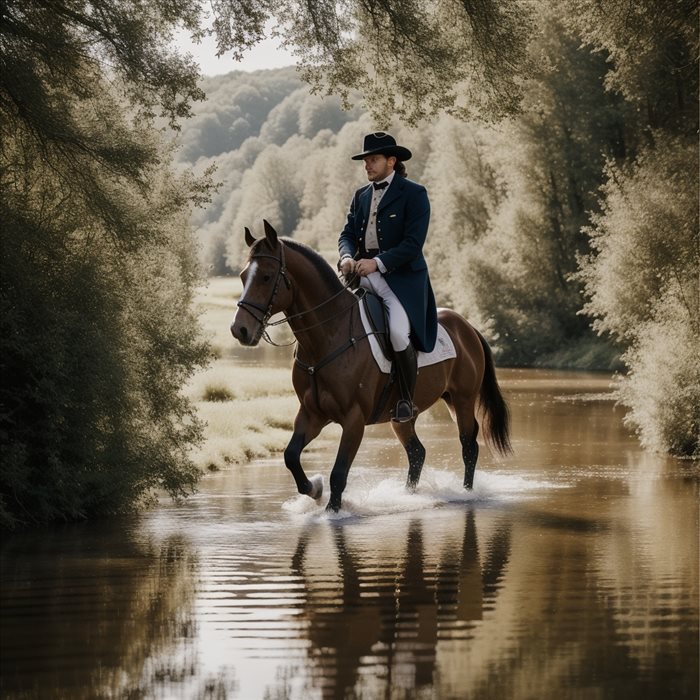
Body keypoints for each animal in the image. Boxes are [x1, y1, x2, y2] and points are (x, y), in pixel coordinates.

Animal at [232, 221, 512, 512]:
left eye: (266, 277)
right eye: (243, 276)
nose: (239, 329)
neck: (328, 336)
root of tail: (467, 326)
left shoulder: (353, 420)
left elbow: (338, 473)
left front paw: (332, 511)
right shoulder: (312, 414)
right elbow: (291, 456)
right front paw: (315, 489)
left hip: (462, 400)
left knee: (468, 446)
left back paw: (467, 494)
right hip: (404, 416)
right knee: (417, 452)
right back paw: (409, 496)